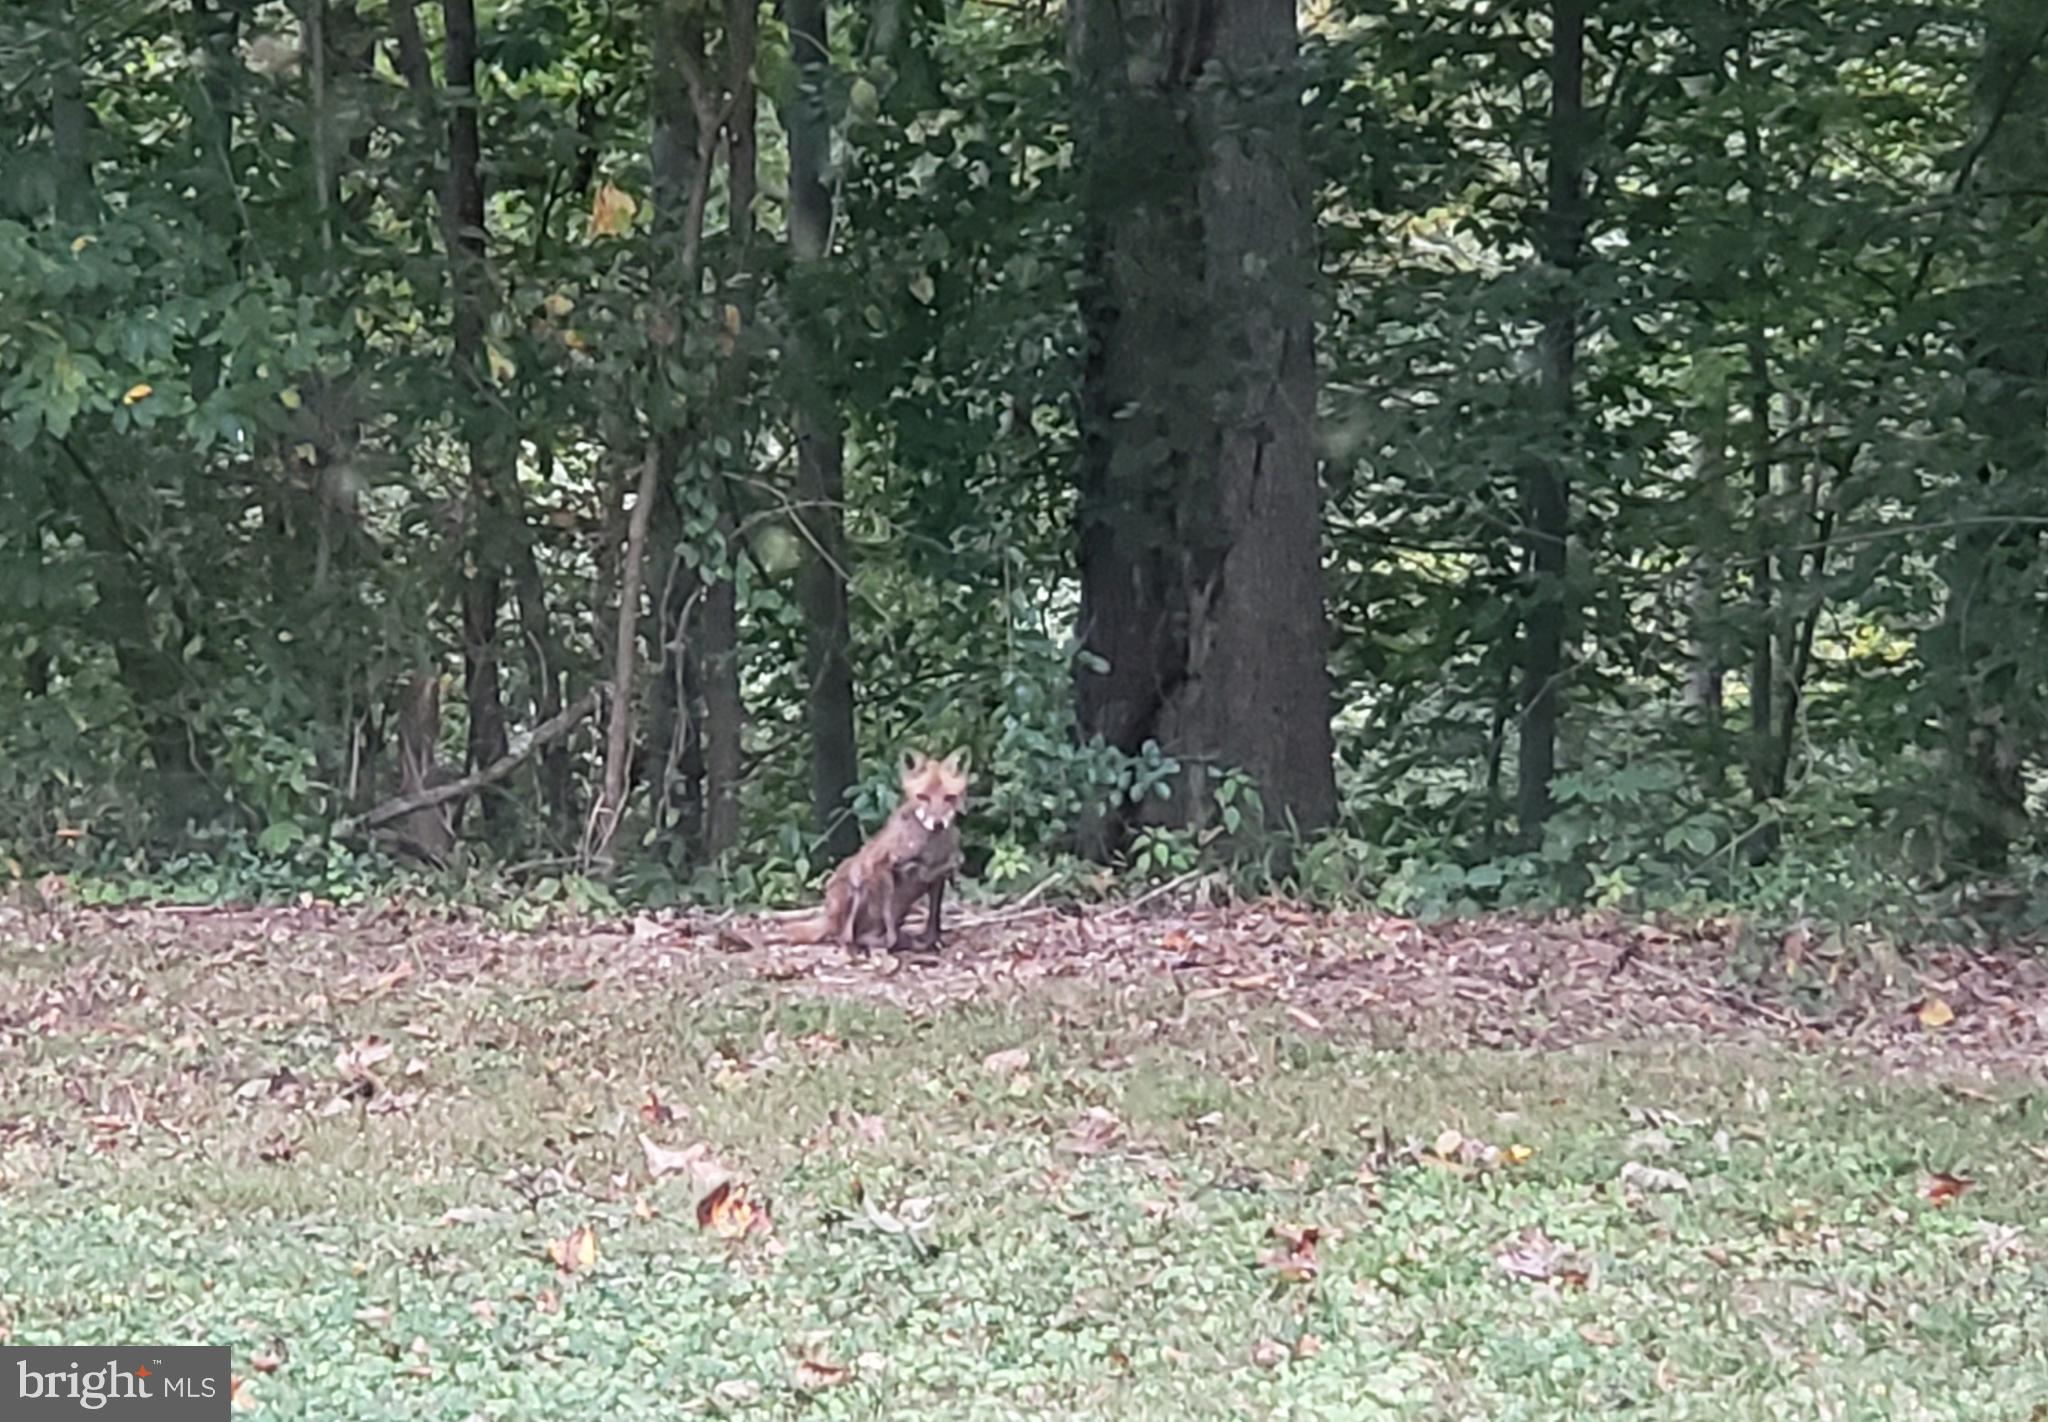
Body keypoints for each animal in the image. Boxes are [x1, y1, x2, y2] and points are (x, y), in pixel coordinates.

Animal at [792, 749, 970, 952]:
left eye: (949, 797)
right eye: (922, 796)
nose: (938, 824)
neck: (930, 850)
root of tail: (827, 917)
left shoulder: (939, 874)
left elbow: (934, 919)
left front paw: (933, 941)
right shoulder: (880, 866)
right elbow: (888, 918)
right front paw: (893, 943)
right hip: (854, 883)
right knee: (845, 935)